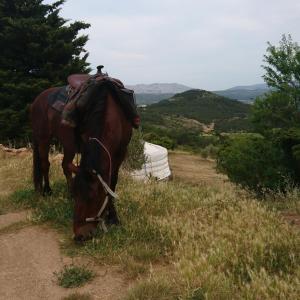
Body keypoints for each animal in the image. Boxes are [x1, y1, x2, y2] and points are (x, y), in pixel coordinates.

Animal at [31, 78, 139, 241]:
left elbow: (112, 183)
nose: (79, 236)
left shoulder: (120, 153)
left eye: (92, 198)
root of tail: (37, 99)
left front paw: (113, 217)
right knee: (45, 164)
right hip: (44, 139)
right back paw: (47, 191)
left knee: (65, 165)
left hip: (68, 144)